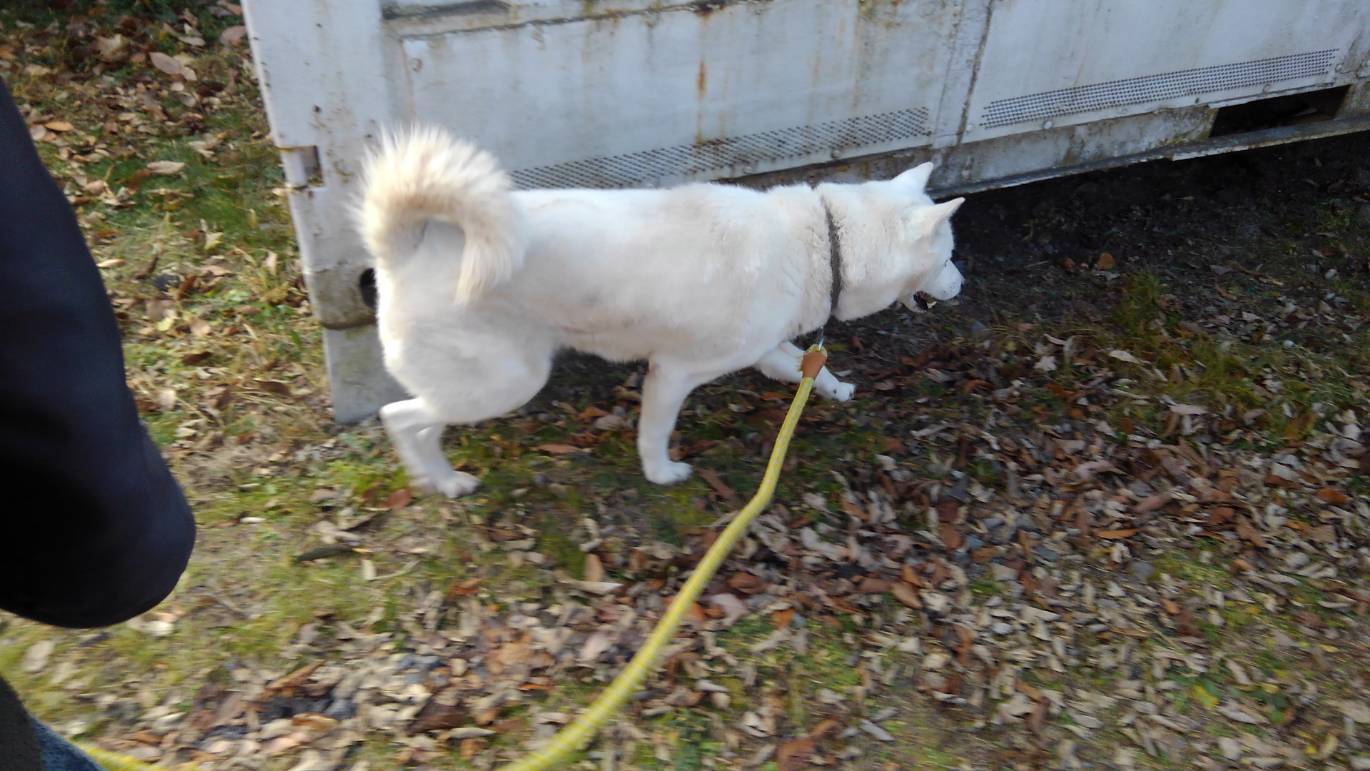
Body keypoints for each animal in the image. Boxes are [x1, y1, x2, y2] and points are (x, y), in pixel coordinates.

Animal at [357, 127, 965, 497]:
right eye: (949, 257)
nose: (961, 284)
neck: (822, 241)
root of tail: (405, 249)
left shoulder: (765, 348)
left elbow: (806, 367)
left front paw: (837, 390)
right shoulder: (672, 372)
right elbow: (655, 432)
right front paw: (661, 472)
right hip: (506, 383)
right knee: (401, 417)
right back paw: (441, 478)